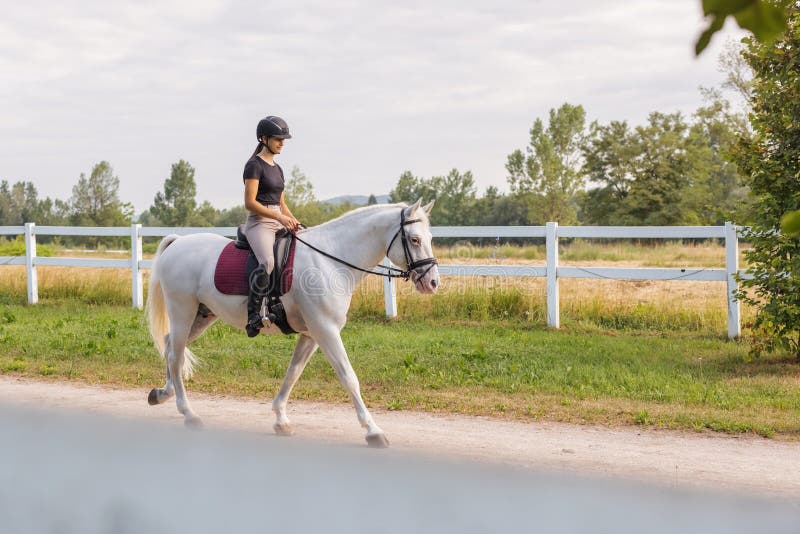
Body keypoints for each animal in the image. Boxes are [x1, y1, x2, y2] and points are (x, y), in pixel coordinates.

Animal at [144, 201, 438, 448]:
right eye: (415, 239)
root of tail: (178, 241)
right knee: (175, 354)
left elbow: (293, 373)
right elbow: (349, 377)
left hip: (202, 316)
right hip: (182, 311)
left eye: (431, 239)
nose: (432, 282)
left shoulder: (311, 334)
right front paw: (373, 431)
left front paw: (280, 420)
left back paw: (162, 393)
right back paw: (188, 413)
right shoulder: (326, 330)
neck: (331, 260)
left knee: (171, 347)